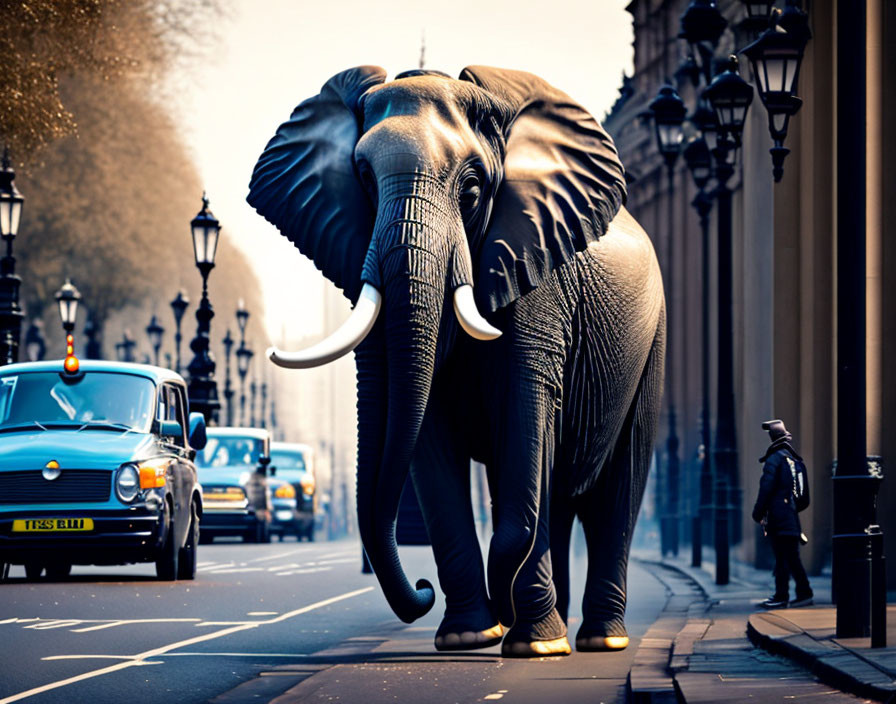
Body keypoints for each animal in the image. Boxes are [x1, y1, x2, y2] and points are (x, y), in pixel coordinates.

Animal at [245, 63, 664, 656]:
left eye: (470, 190)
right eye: (364, 181)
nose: (420, 589)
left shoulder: (534, 267)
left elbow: (525, 412)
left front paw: (525, 639)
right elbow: (429, 431)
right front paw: (471, 636)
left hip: (652, 339)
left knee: (614, 483)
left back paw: (594, 640)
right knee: (556, 493)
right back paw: (552, 627)